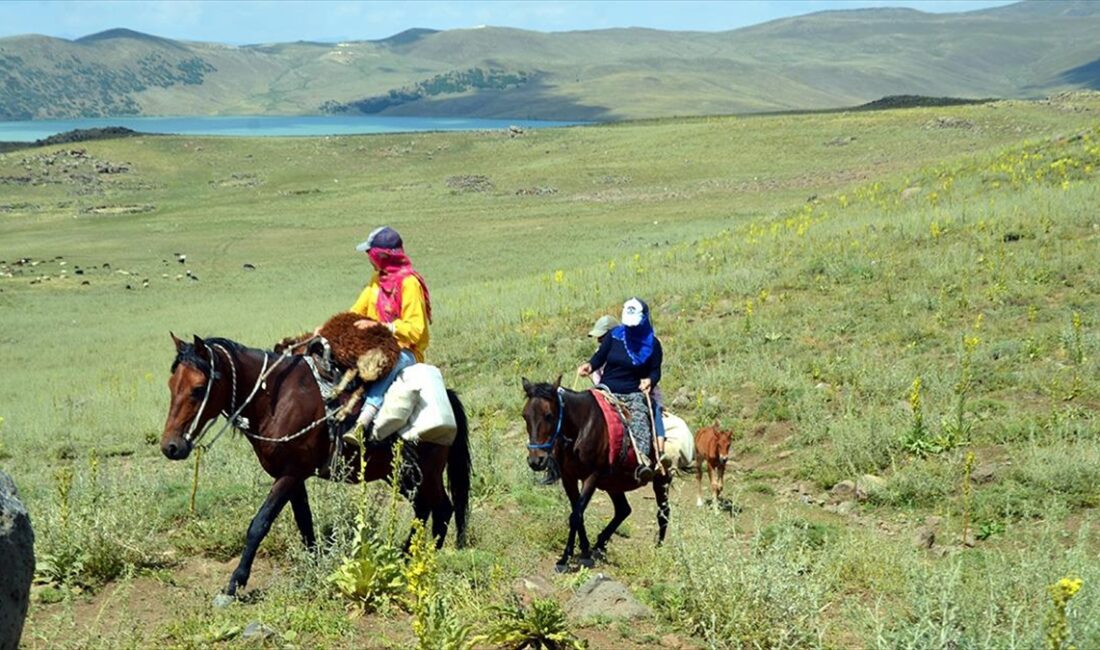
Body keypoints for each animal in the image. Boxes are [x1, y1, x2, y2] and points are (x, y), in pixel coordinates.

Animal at [160, 336, 470, 598]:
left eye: (198, 389)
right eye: (171, 386)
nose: (171, 447)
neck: (276, 400)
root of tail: (448, 397)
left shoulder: (290, 474)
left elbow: (259, 524)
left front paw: (235, 582)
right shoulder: (293, 477)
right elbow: (305, 523)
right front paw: (316, 566)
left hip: (425, 473)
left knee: (442, 508)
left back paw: (423, 558)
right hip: (403, 475)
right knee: (426, 508)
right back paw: (406, 556)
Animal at [521, 373, 668, 571]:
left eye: (549, 415)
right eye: (525, 416)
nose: (536, 461)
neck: (581, 427)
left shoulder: (591, 476)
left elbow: (575, 515)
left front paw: (566, 558)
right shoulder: (569, 478)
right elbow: (577, 513)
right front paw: (584, 550)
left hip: (661, 479)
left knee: (663, 513)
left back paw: (659, 548)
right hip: (614, 483)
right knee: (623, 510)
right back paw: (599, 544)